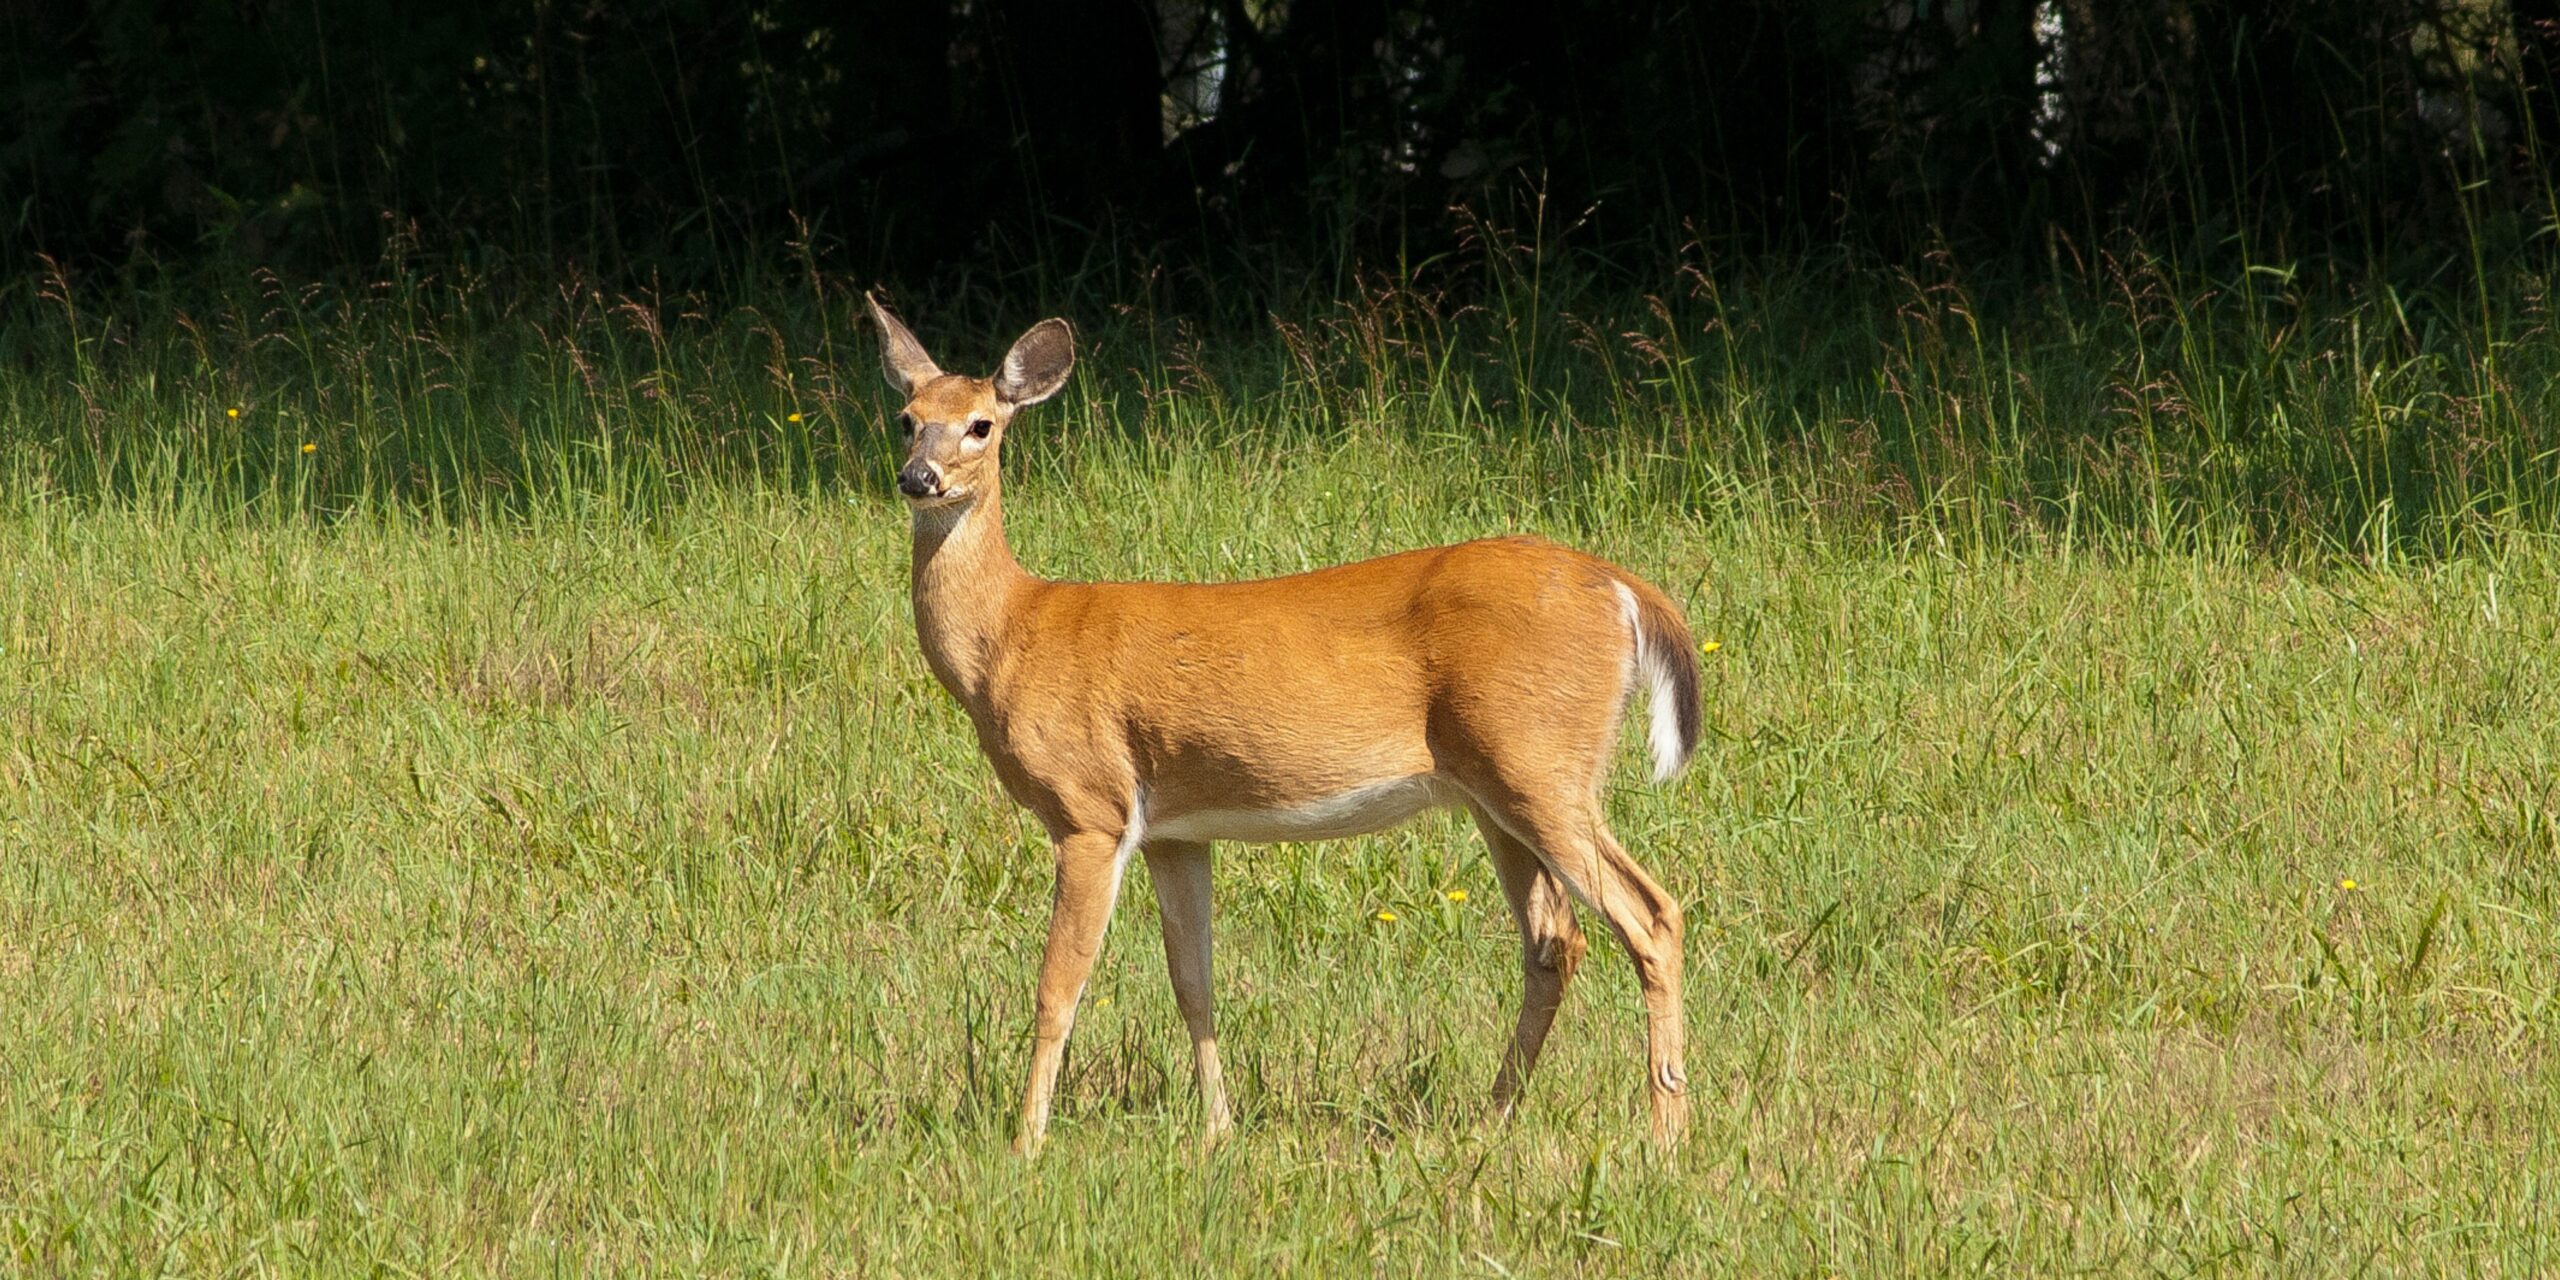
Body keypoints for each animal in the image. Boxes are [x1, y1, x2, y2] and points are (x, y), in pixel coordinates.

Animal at [870, 294, 1710, 1157]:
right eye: (906, 419)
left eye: (980, 424)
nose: (918, 477)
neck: (1014, 634)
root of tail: (1625, 590)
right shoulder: (1175, 830)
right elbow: (1193, 983)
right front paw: (1217, 1129)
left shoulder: (1090, 808)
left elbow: (1057, 987)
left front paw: (1025, 1142)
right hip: (1495, 788)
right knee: (1553, 939)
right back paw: (1492, 1116)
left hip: (1539, 762)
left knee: (1652, 916)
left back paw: (1667, 1133)